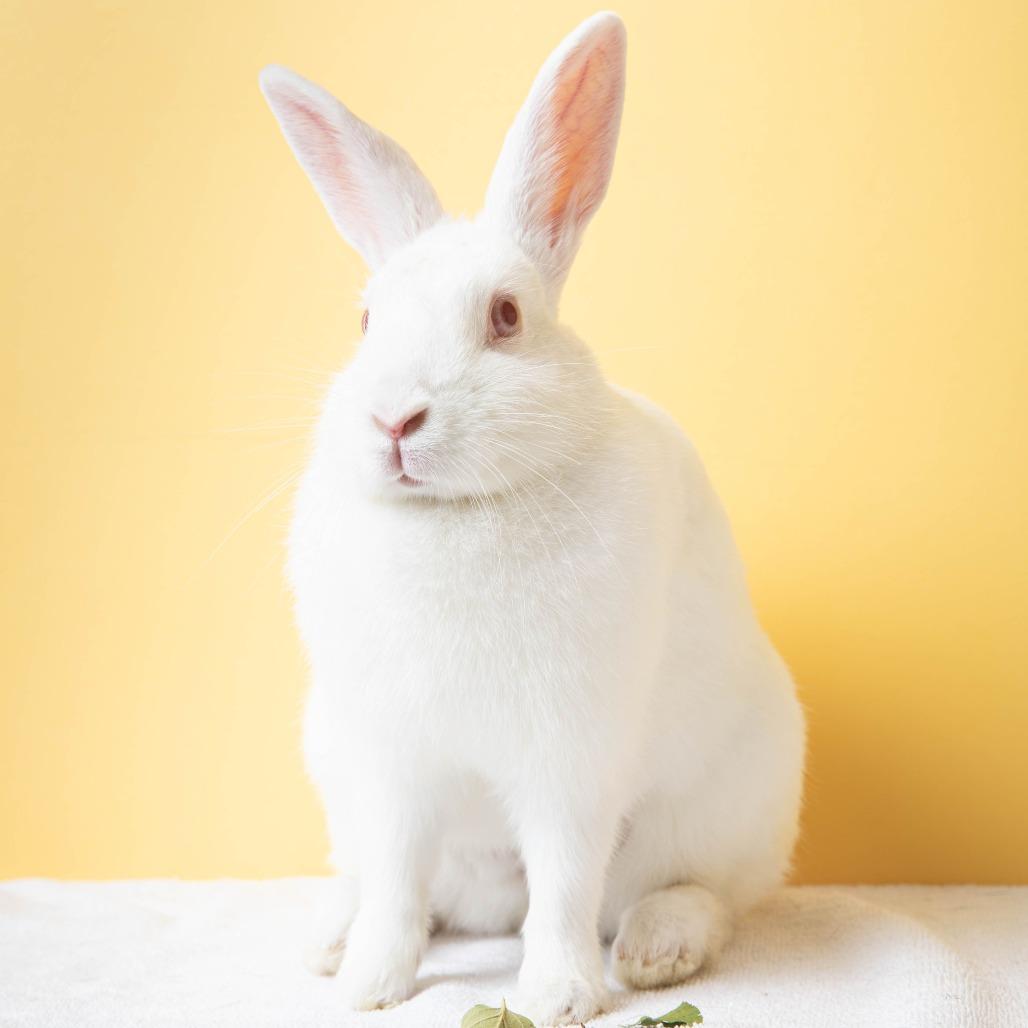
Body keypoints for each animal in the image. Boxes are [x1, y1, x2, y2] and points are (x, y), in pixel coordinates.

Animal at [259, 10, 804, 1026]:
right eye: (365, 322)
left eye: (506, 317)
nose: (395, 420)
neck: (455, 512)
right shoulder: (393, 764)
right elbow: (397, 886)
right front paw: (370, 986)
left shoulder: (571, 755)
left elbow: (560, 885)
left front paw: (557, 996)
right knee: (401, 889)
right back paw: (327, 941)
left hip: (729, 803)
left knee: (700, 894)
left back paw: (655, 953)